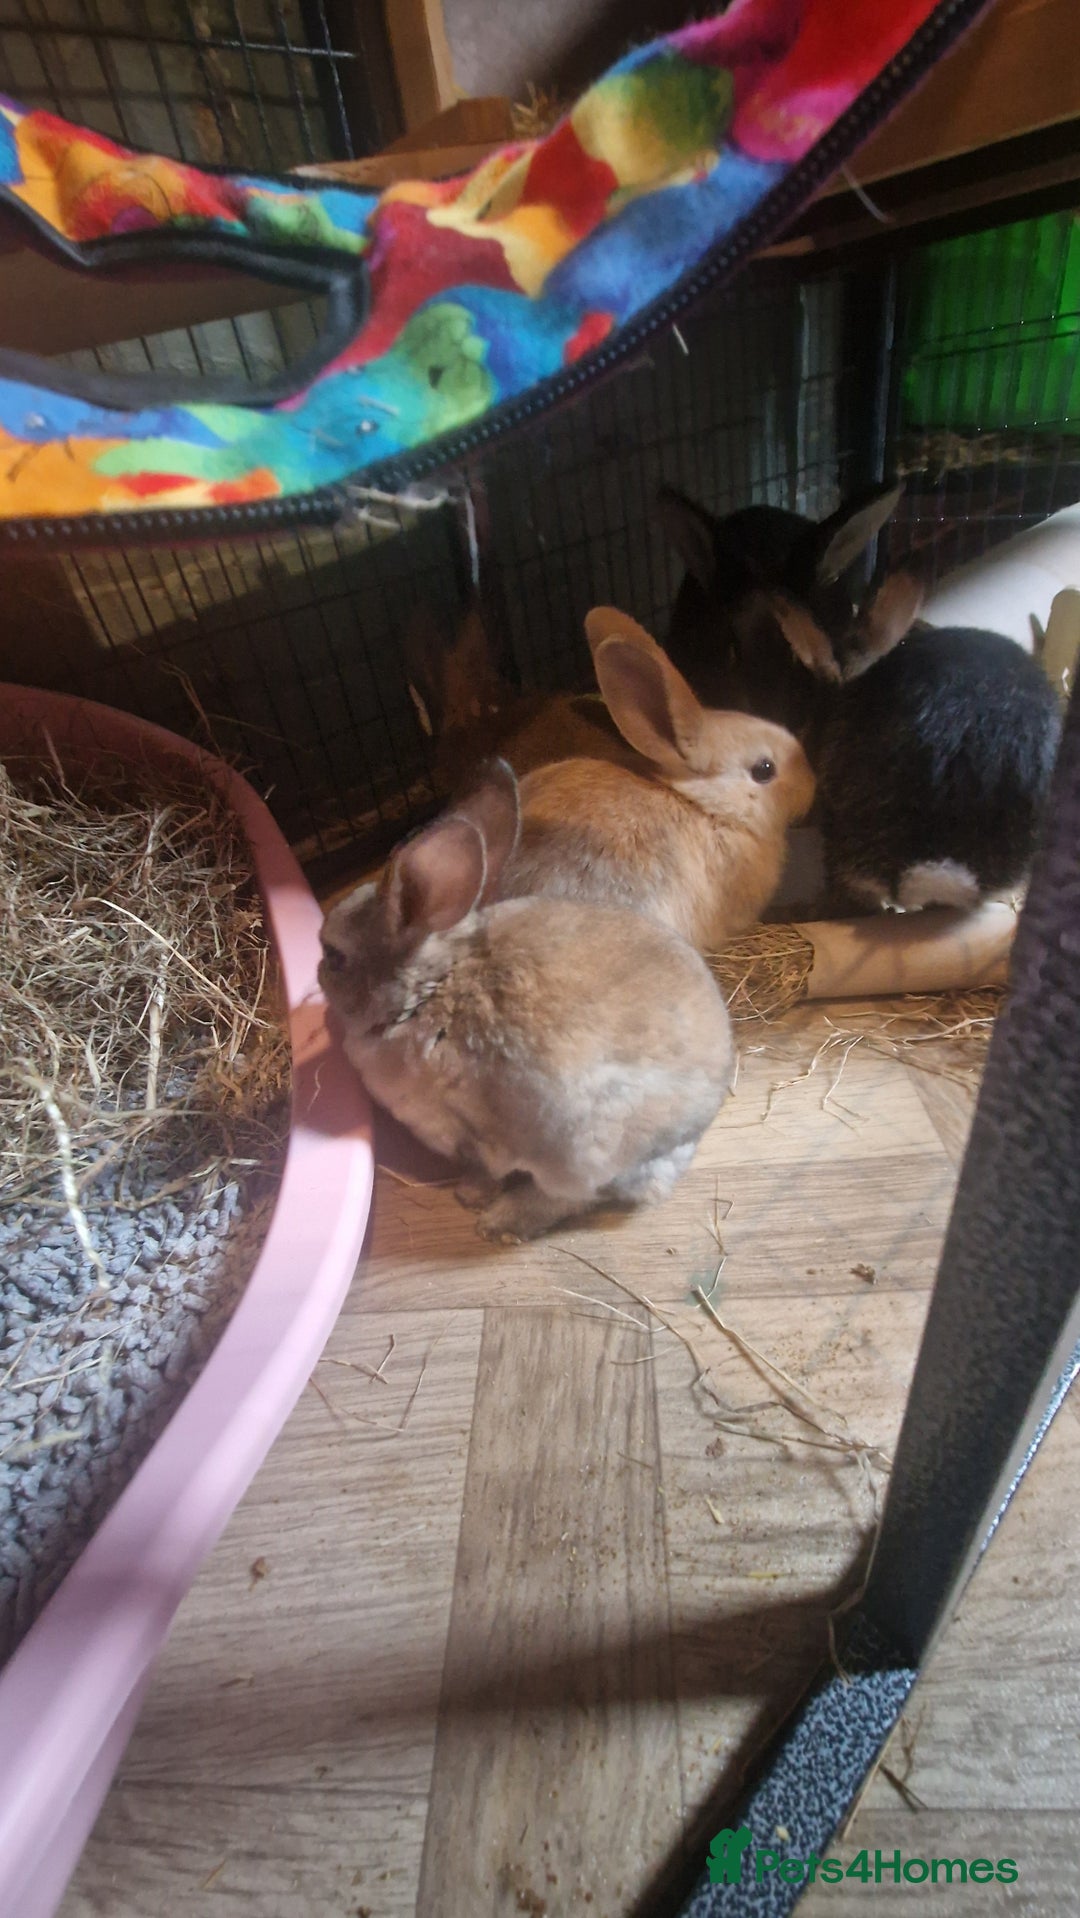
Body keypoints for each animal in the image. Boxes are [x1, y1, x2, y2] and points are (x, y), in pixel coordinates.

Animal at [318, 758, 735, 1242]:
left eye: (335, 957)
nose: (317, 971)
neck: (432, 987)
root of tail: (694, 1130)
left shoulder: (469, 1132)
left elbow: (486, 1170)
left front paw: (469, 1196)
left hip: (583, 1147)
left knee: (571, 1197)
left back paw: (498, 1221)